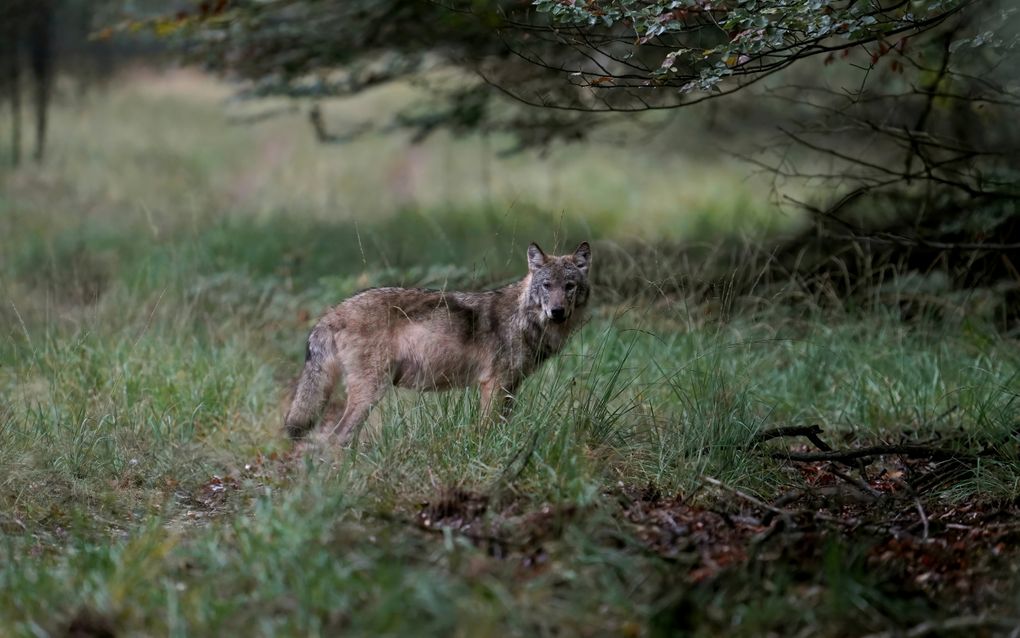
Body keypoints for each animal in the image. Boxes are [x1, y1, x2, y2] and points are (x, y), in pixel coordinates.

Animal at [283, 239, 595, 443]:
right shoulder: (493, 385)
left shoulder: (510, 387)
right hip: (371, 391)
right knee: (337, 438)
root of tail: (332, 312)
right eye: (547, 286)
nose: (557, 312)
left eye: (569, 286)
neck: (524, 319)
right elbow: (487, 430)